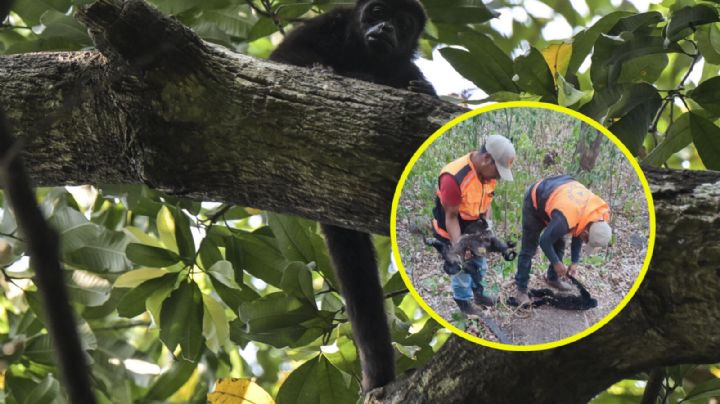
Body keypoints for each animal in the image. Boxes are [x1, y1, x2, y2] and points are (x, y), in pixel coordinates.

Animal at [269, 0, 435, 393]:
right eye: (376, 12)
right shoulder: (327, 24)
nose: (385, 28)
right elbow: (283, 58)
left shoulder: (406, 66)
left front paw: (418, 90)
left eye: (402, 22)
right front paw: (324, 69)